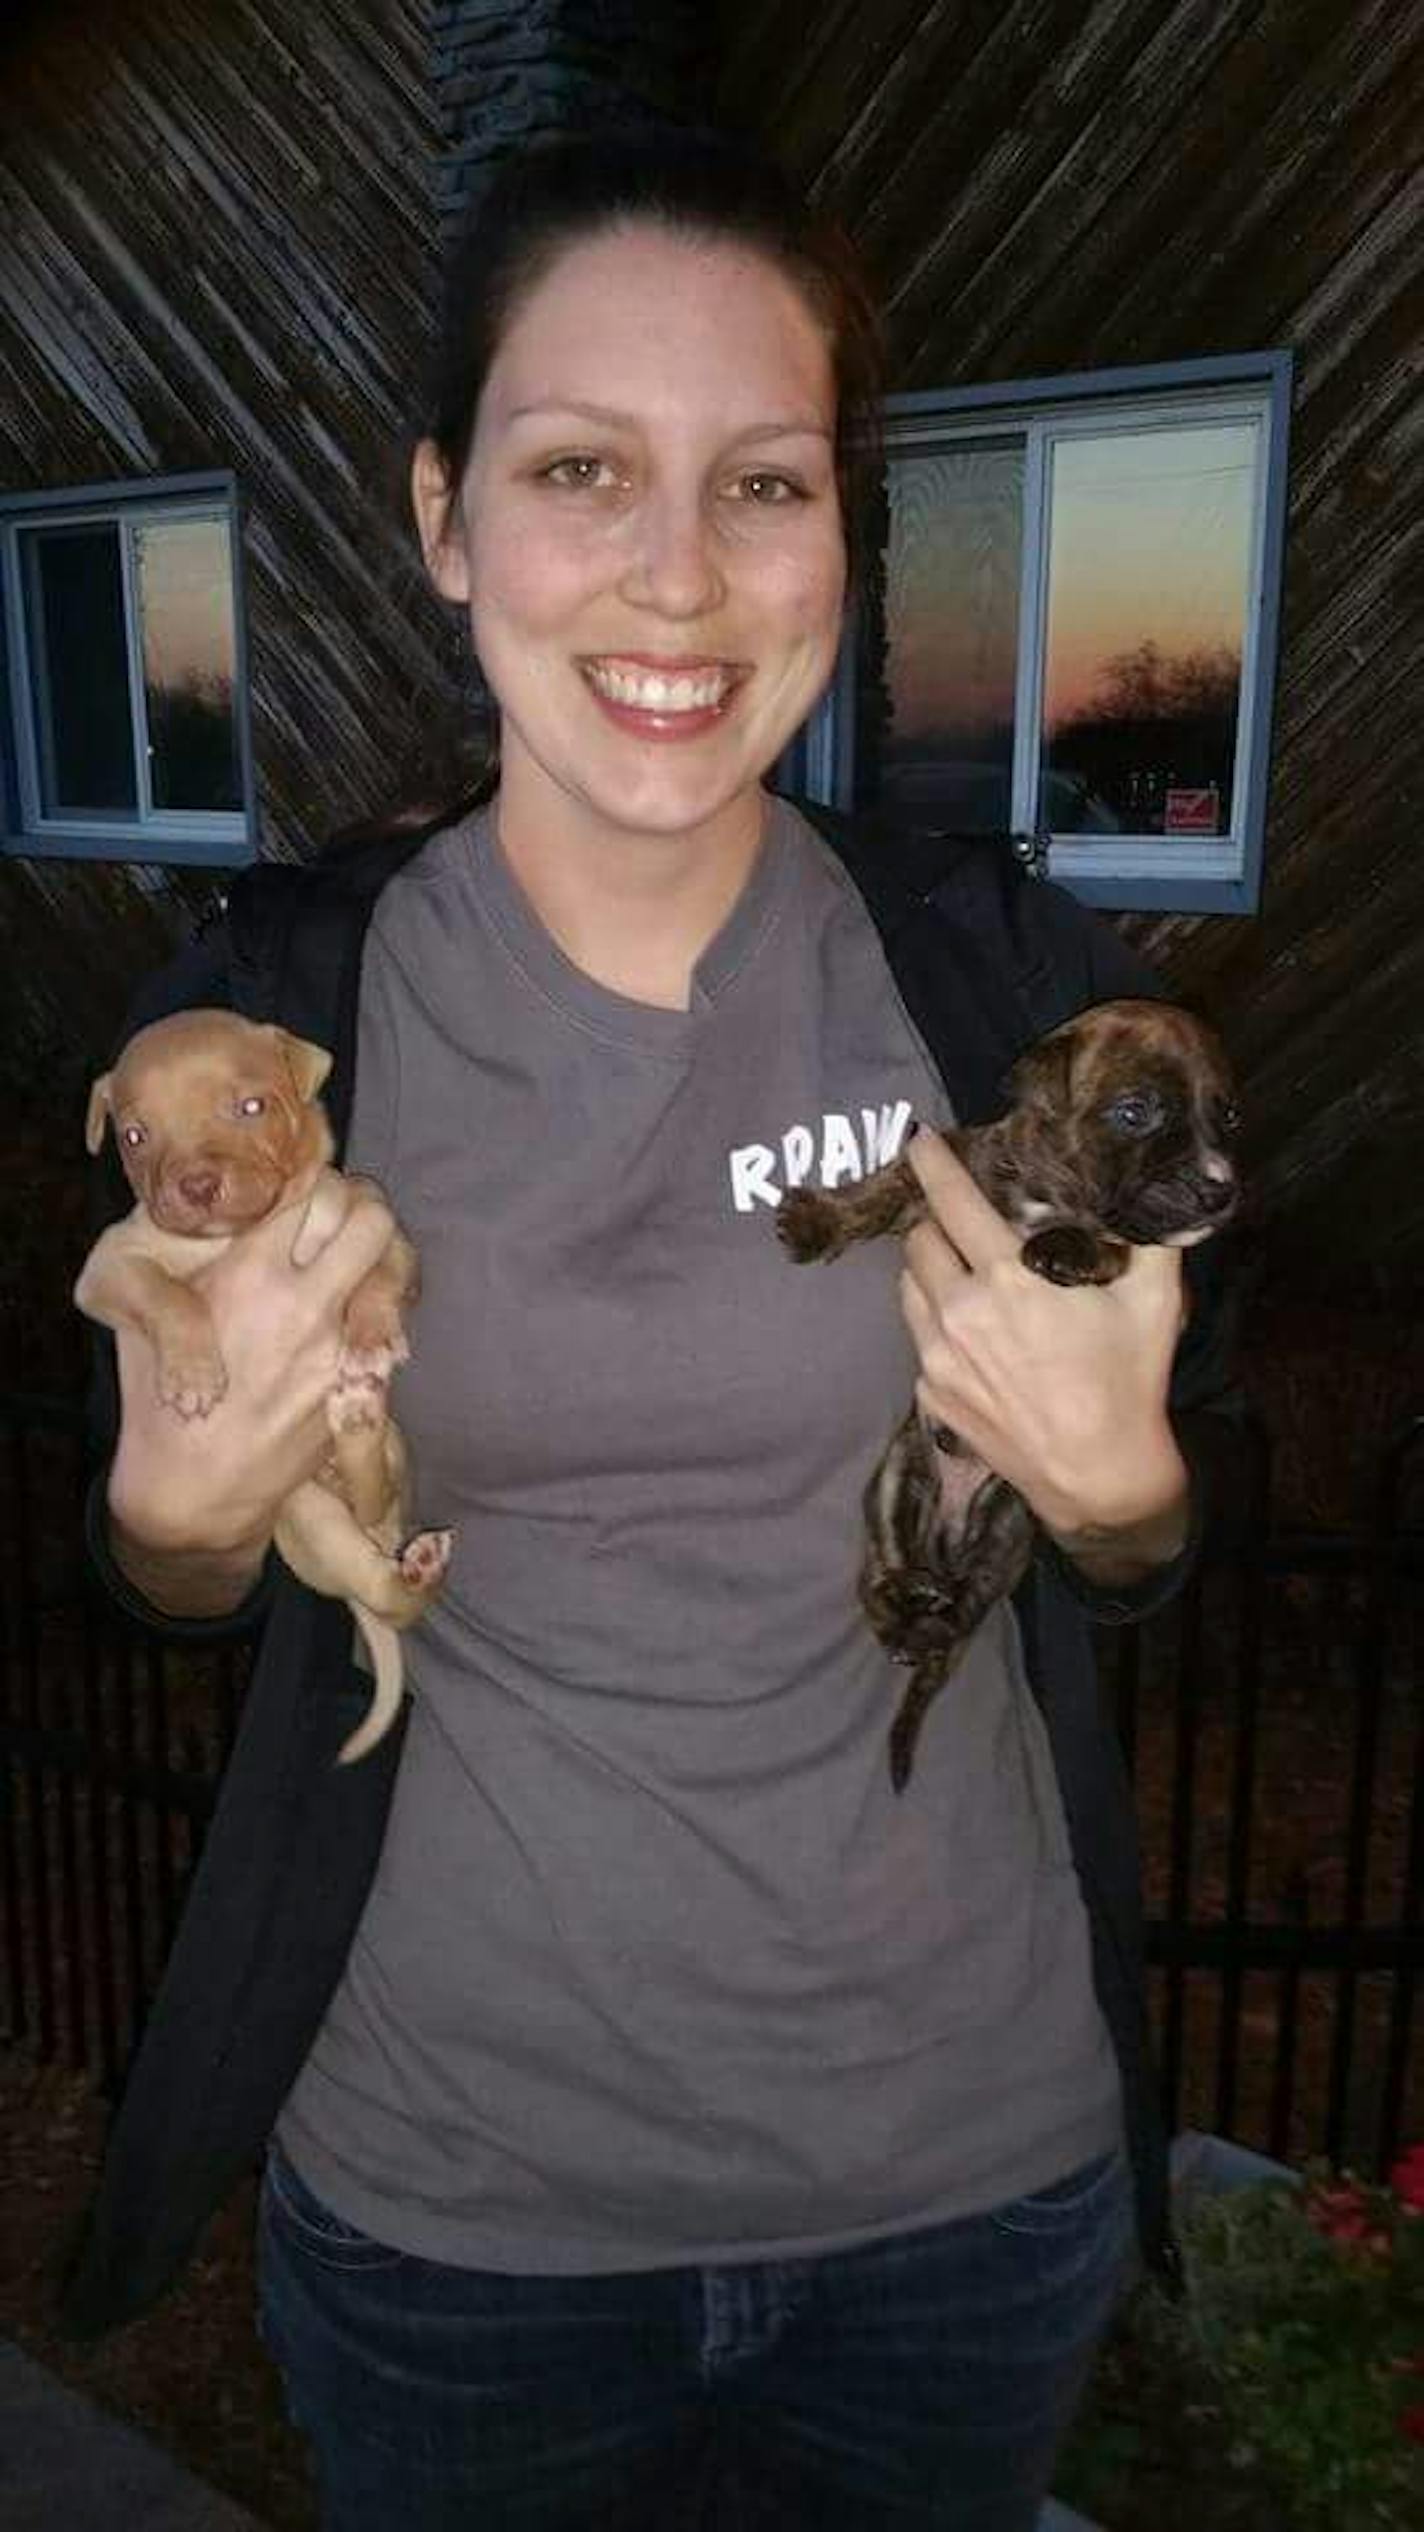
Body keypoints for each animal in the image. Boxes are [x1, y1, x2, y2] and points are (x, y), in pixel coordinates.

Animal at [74, 1002, 448, 1762]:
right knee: (379, 1567)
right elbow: (164, 1294)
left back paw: (362, 1426)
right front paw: (192, 1372)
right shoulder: (107, 1265)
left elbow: (383, 1278)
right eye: (134, 1136)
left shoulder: (377, 1220)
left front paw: (371, 1332)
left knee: (381, 1511)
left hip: (374, 1480)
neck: (237, 1234)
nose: (194, 1186)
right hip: (306, 1517)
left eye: (251, 1106)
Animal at [775, 997, 1231, 1792]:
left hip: (1011, 1530)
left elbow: (1115, 1244)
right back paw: (911, 1601)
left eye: (1228, 1116)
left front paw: (1070, 1248)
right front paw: (820, 1219)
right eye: (1136, 1111)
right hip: (894, 1483)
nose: (1219, 1186)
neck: (1043, 1191)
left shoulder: (1148, 1267)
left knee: (963, 1609)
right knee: (881, 1585)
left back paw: (936, 1612)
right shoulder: (943, 1166)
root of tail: (946, 1551)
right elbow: (885, 1185)